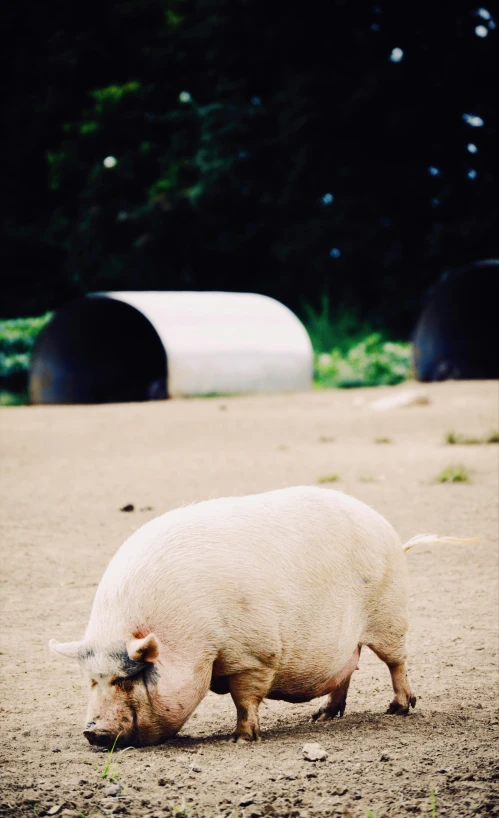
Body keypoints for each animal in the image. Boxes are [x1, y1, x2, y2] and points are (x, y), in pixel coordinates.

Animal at [48, 484, 474, 744]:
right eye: (91, 680)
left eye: (125, 680)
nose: (92, 733)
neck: (192, 642)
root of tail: (393, 536)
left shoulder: (252, 655)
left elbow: (245, 698)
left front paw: (240, 738)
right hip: (350, 638)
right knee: (346, 671)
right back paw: (322, 717)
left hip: (390, 615)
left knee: (395, 662)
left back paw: (398, 709)